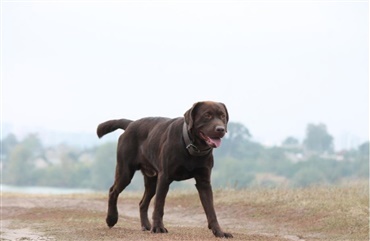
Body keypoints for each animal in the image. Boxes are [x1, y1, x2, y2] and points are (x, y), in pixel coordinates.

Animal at [97, 100, 233, 238]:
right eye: (207, 115)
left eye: (222, 116)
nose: (220, 129)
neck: (191, 146)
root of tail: (131, 124)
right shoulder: (164, 178)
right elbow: (159, 206)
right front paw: (158, 227)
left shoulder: (204, 182)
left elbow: (211, 210)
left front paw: (219, 232)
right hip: (125, 171)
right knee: (113, 191)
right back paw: (111, 219)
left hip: (152, 181)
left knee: (142, 203)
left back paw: (146, 225)